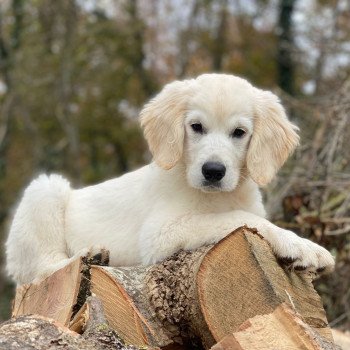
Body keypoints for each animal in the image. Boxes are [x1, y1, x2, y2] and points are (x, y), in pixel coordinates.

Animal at [4, 74, 334, 284]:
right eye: (196, 127)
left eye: (239, 133)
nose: (213, 171)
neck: (217, 195)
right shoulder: (160, 233)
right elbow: (240, 219)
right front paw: (302, 246)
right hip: (45, 190)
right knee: (42, 269)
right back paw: (89, 255)